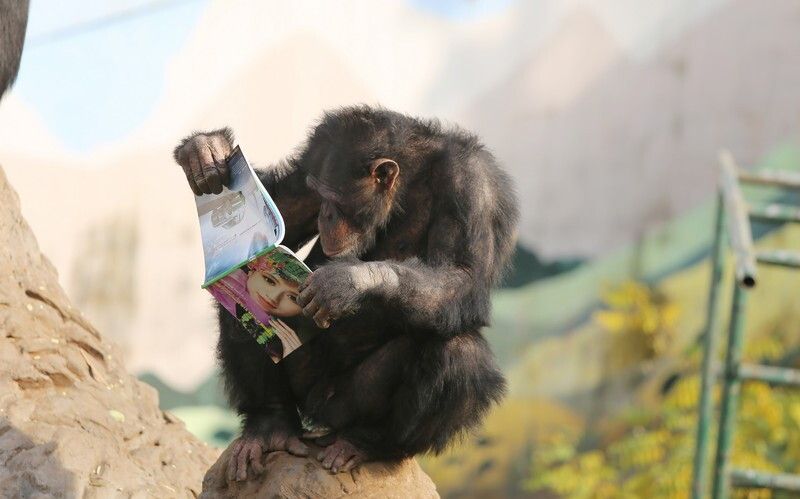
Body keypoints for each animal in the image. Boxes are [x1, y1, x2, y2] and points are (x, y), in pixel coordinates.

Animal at [173, 105, 520, 480]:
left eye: (335, 200)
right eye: (319, 195)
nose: (324, 214)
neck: (408, 180)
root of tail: (317, 414)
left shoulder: (471, 185)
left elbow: (463, 274)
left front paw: (350, 282)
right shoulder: (316, 154)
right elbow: (285, 211)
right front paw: (206, 150)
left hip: (342, 407)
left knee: (458, 351)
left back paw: (368, 442)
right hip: (300, 378)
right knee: (238, 312)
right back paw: (269, 424)